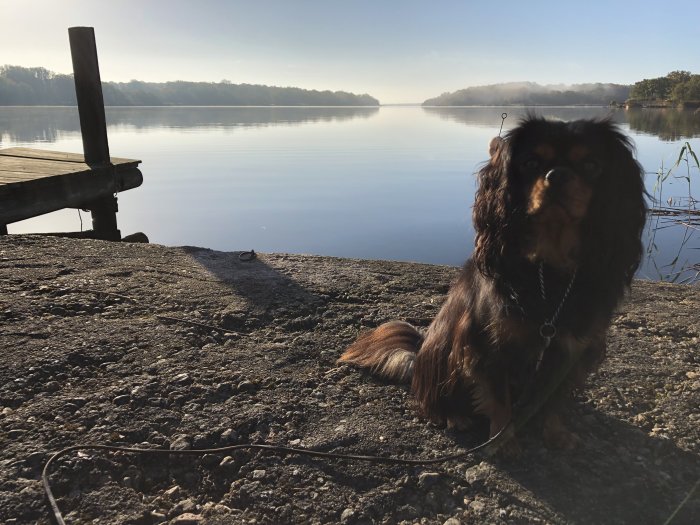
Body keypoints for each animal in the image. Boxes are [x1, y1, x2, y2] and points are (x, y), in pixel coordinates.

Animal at [338, 116, 644, 452]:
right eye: (530, 163)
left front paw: (555, 433)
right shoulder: (488, 345)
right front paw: (503, 442)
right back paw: (453, 416)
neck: (547, 271)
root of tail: (418, 357)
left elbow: (552, 400)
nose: (558, 175)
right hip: (443, 351)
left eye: (591, 165)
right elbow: (499, 400)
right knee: (434, 401)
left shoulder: (570, 348)